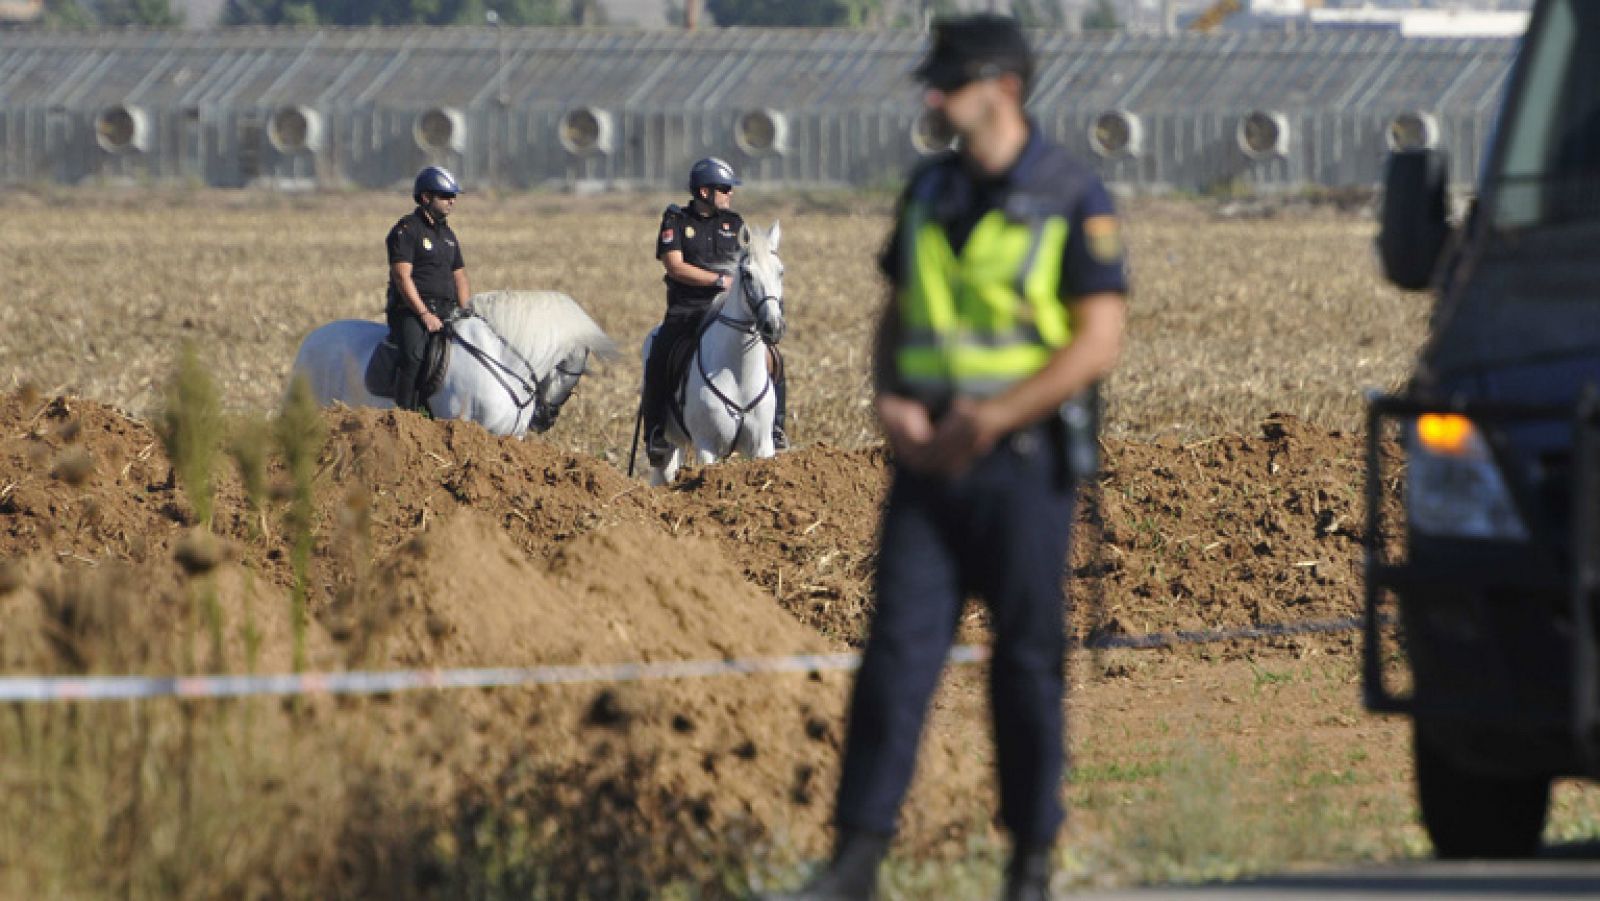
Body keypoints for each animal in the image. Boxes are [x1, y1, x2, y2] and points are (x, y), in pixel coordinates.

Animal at [640, 220, 784, 486]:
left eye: (781, 272)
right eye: (747, 274)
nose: (773, 327)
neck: (738, 374)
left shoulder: (762, 446)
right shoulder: (707, 447)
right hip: (668, 443)